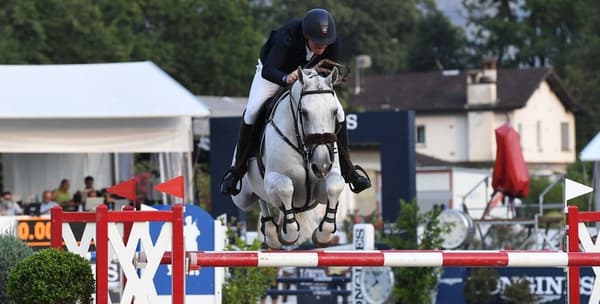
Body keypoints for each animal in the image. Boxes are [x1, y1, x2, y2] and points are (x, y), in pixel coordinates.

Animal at [234, 67, 346, 249]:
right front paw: (289, 234)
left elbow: (335, 186)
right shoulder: (272, 178)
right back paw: (272, 234)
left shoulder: (325, 185)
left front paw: (323, 234)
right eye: (304, 113)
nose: (321, 165)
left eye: (335, 112)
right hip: (242, 197)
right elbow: (285, 187)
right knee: (260, 197)